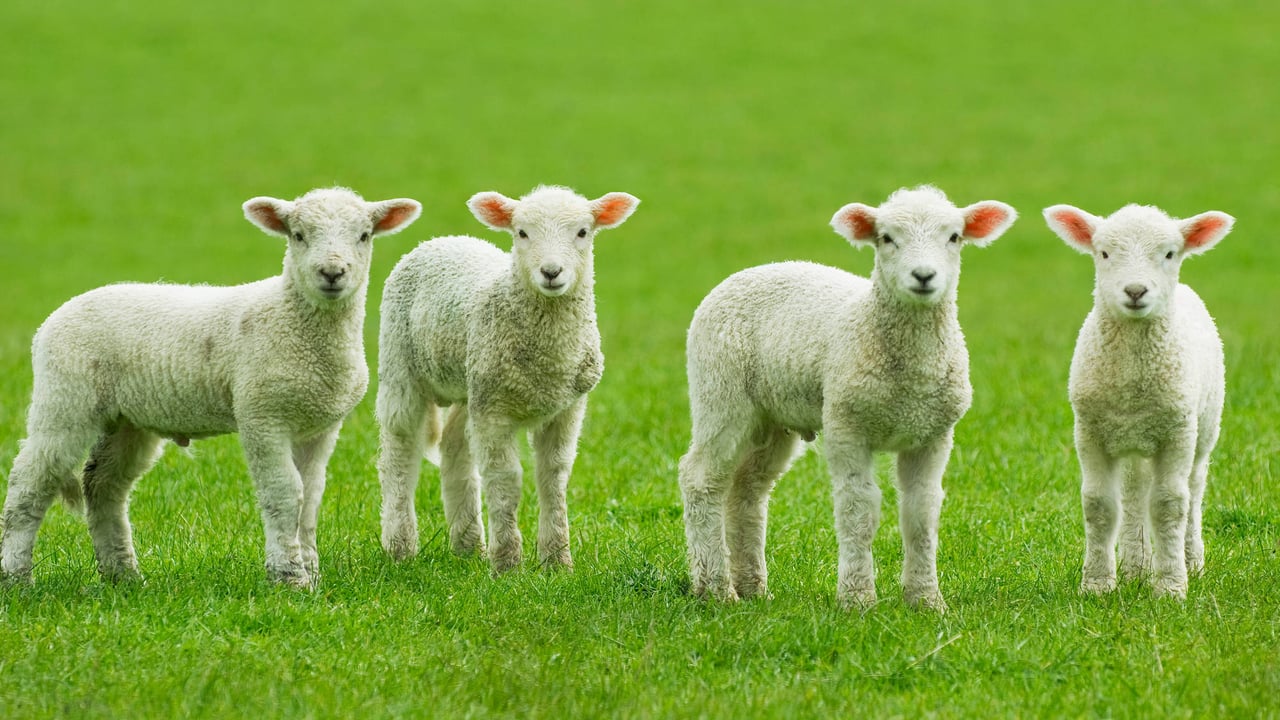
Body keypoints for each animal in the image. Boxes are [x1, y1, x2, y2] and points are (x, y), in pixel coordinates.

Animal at [0, 187, 421, 587]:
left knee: (103, 486)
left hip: (127, 420)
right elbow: (285, 494)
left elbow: (310, 498)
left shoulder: (320, 426)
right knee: (29, 482)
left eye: (364, 235)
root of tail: (55, 317)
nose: (332, 272)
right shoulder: (262, 415)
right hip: (65, 398)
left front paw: (311, 573)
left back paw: (123, 577)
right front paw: (289, 577)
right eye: (298, 235)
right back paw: (17, 578)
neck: (292, 320)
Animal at [376, 185, 639, 573]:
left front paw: (557, 561)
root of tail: (441, 240)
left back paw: (469, 546)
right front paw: (507, 564)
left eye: (582, 232)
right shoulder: (495, 412)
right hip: (401, 365)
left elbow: (553, 477)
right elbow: (506, 478)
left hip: (472, 384)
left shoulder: (567, 407)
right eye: (522, 233)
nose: (551, 272)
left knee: (454, 449)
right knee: (399, 453)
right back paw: (400, 547)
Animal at [679, 186, 1015, 611]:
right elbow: (859, 509)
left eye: (954, 237)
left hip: (772, 419)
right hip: (720, 393)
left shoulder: (933, 435)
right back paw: (717, 589)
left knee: (748, 490)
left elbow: (921, 512)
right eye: (886, 238)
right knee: (701, 479)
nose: (924, 276)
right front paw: (857, 599)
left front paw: (925, 600)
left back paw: (753, 587)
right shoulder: (846, 426)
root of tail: (749, 271)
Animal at [1043, 203, 1231, 599]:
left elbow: (1169, 506)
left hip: (1203, 430)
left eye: (1170, 254)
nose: (1135, 290)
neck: (1130, 380)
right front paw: (1098, 584)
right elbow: (1099, 505)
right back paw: (1135, 568)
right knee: (1133, 497)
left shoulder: (1177, 433)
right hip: (1132, 441)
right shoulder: (1090, 432)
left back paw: (1191, 562)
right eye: (1103, 253)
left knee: (1193, 491)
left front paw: (1171, 587)